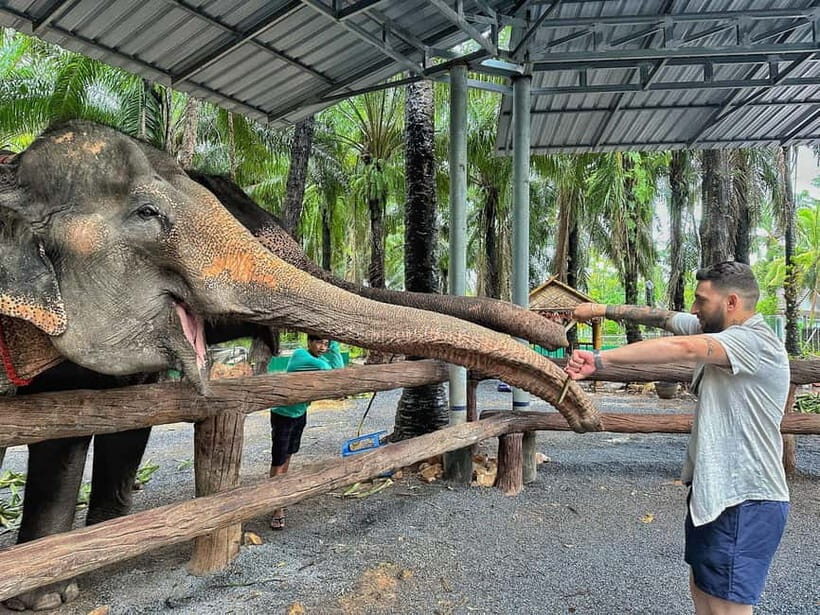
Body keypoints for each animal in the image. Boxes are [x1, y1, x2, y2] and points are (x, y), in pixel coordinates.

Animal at [0, 121, 600, 610]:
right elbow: (63, 429)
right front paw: (53, 593)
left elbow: (109, 419)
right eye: (148, 215)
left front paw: (103, 546)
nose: (562, 337)